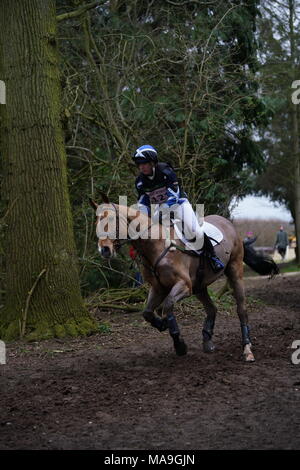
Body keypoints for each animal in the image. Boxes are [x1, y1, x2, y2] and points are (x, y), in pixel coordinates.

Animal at [89, 196, 278, 362]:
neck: (156, 245)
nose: (104, 250)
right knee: (212, 308)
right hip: (200, 286)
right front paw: (162, 325)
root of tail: (228, 223)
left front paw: (178, 343)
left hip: (234, 270)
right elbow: (147, 312)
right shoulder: (158, 288)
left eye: (111, 219)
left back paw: (247, 349)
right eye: (96, 221)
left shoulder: (184, 285)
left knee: (241, 310)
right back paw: (207, 341)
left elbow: (167, 306)